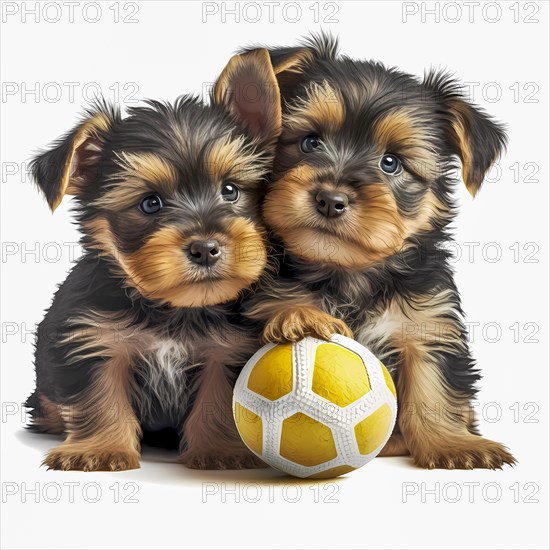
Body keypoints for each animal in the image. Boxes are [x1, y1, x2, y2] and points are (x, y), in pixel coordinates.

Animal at [24, 49, 284, 474]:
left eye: (230, 190)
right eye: (150, 204)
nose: (205, 248)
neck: (173, 308)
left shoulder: (227, 349)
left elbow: (218, 398)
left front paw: (219, 450)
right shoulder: (93, 338)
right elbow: (99, 395)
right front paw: (99, 450)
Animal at [246, 35, 516, 470]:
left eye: (391, 163)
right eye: (310, 142)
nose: (330, 199)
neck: (350, 270)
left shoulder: (429, 322)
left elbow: (434, 385)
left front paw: (452, 445)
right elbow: (282, 307)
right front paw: (300, 316)